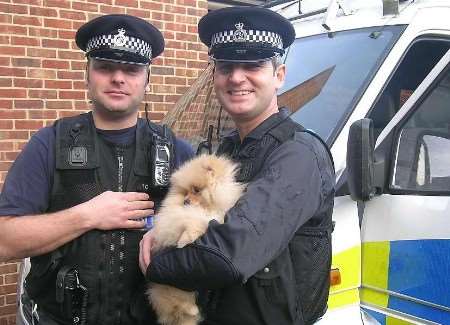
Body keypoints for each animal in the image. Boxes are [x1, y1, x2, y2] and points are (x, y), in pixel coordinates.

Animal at [148, 153, 244, 324]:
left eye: (196, 190)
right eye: (185, 192)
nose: (185, 201)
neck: (206, 209)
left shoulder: (213, 219)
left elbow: (198, 224)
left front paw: (184, 241)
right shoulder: (176, 221)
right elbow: (187, 222)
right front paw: (182, 240)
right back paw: (191, 309)